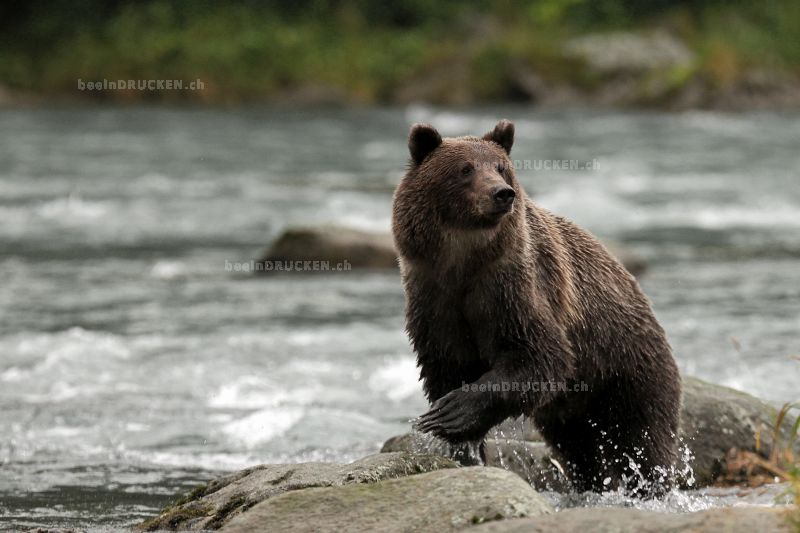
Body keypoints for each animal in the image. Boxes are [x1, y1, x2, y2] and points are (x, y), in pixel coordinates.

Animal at [390, 119, 680, 494]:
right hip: (575, 407)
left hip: (626, 364)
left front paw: (453, 412)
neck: (463, 261)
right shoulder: (434, 298)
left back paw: (650, 484)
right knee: (580, 447)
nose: (502, 193)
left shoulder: (513, 288)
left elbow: (539, 355)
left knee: (642, 437)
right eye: (465, 169)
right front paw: (463, 446)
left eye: (501, 167)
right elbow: (445, 364)